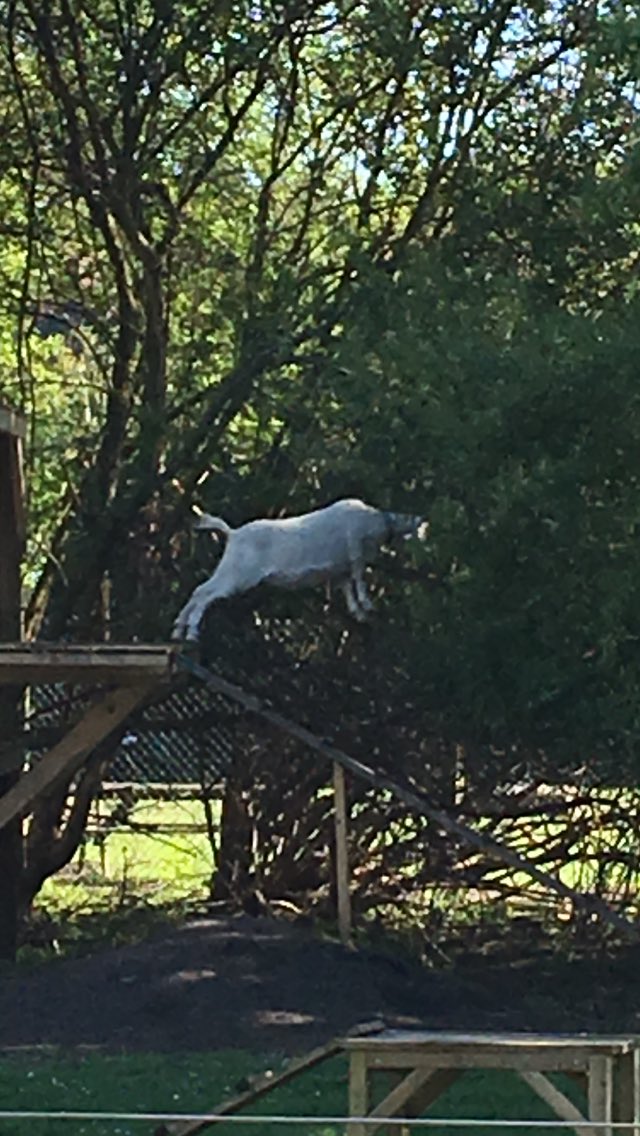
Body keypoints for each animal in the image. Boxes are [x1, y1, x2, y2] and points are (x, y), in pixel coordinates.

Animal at [172, 497, 426, 641]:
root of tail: (232, 534)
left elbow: (348, 587)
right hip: (239, 574)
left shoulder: (340, 569)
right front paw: (368, 605)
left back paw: (178, 629)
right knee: (206, 592)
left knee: (199, 589)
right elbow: (360, 578)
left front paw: (360, 613)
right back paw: (191, 632)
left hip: (231, 570)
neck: (378, 522)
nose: (422, 522)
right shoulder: (355, 548)